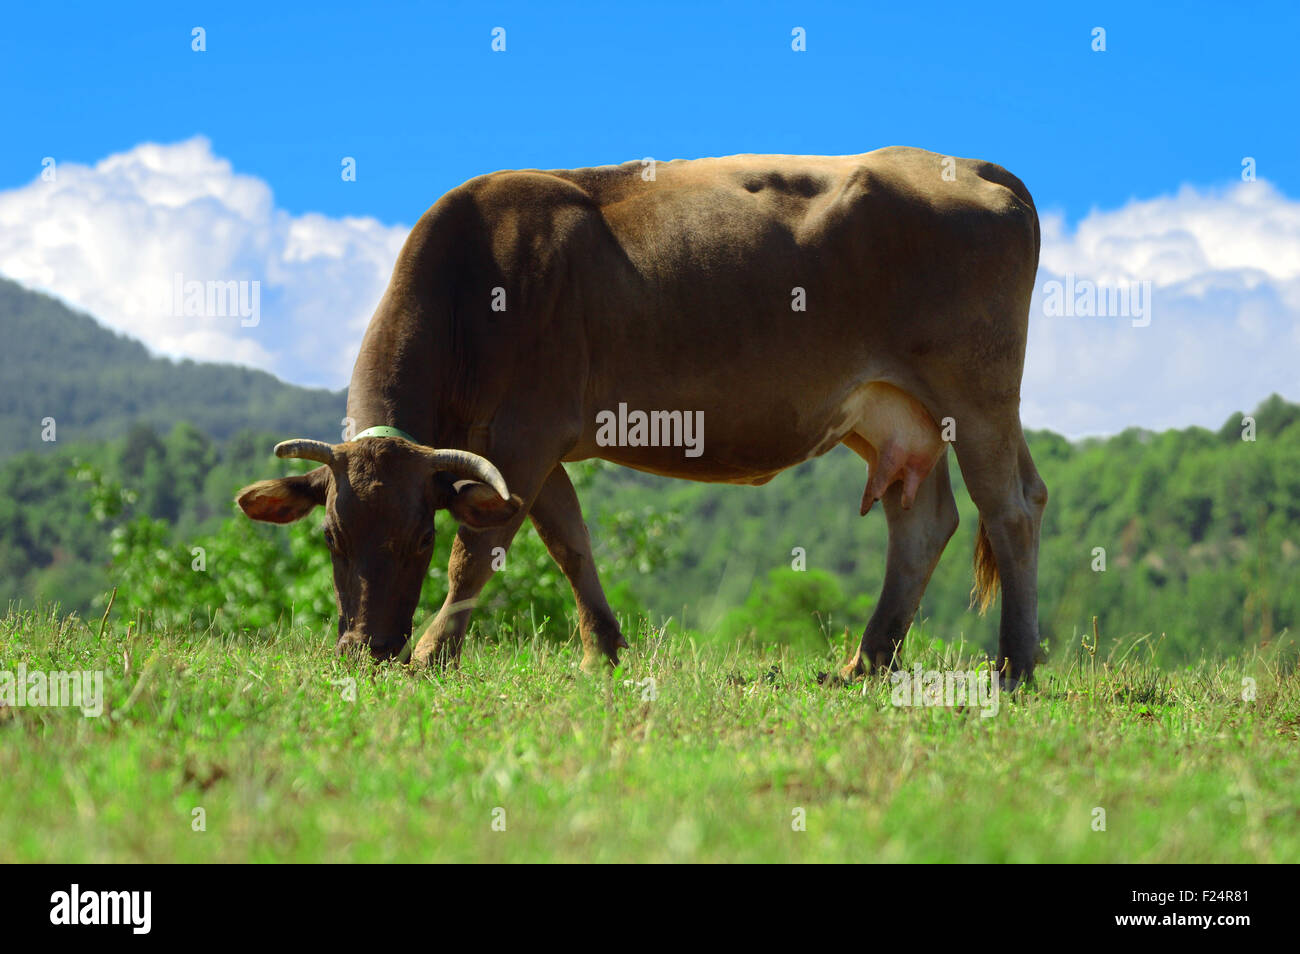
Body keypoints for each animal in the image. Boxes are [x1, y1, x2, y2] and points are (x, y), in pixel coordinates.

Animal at [236, 147, 1045, 686]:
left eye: (417, 541)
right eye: (333, 538)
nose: (363, 651)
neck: (474, 288)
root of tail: (972, 165)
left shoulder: (524, 435)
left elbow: (481, 546)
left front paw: (433, 654)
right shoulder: (525, 451)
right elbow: (568, 541)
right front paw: (604, 650)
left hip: (978, 394)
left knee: (1010, 509)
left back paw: (1013, 668)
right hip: (892, 413)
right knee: (924, 521)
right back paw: (863, 664)